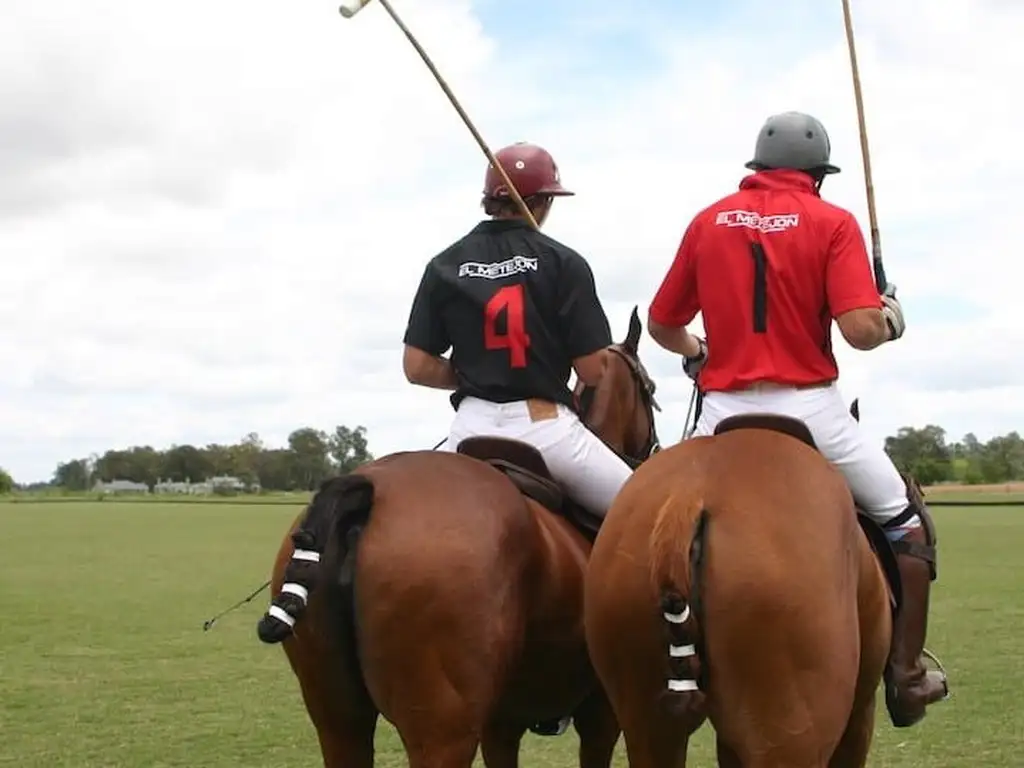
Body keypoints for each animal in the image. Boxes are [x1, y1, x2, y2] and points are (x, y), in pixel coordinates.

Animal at [251, 307, 659, 768]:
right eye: (651, 390)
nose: (654, 449)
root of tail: (365, 487)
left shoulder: (502, 721)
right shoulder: (603, 715)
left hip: (337, 719)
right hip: (442, 729)